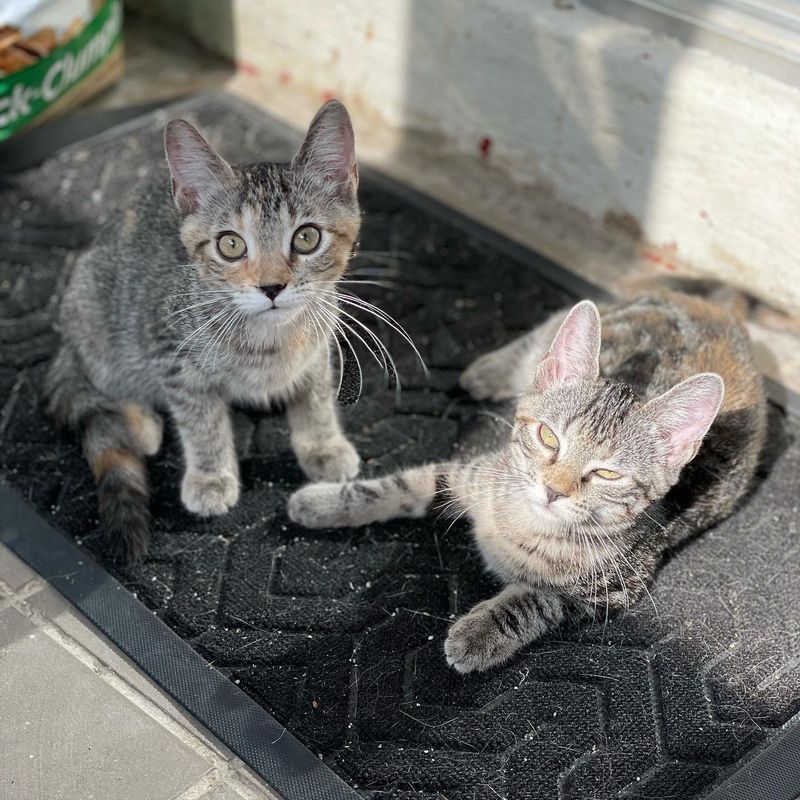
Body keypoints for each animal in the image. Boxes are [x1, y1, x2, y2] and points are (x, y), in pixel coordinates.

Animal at [45, 101, 364, 564]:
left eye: (307, 238)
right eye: (230, 245)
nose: (272, 287)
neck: (270, 341)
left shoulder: (321, 339)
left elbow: (317, 395)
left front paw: (322, 443)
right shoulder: (169, 351)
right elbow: (201, 419)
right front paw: (211, 476)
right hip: (95, 316)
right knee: (99, 381)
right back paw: (141, 423)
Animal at [290, 290, 768, 672]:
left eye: (608, 473)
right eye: (548, 436)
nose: (554, 489)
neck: (522, 523)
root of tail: (718, 310)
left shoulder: (608, 591)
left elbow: (534, 599)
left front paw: (478, 633)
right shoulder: (474, 470)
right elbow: (400, 485)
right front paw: (324, 503)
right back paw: (487, 370)